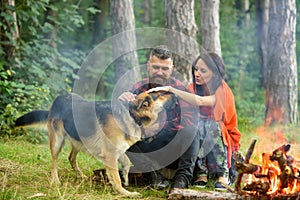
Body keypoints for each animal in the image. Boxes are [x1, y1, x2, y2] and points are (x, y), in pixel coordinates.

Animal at [15, 92, 176, 197]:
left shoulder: (117, 150)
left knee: (71, 158)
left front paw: (125, 176)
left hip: (79, 140)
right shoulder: (110, 154)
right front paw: (125, 193)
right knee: (54, 162)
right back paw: (55, 180)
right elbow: (116, 178)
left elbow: (126, 162)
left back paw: (80, 175)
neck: (132, 114)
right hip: (57, 141)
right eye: (160, 94)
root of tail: (59, 99)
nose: (175, 94)